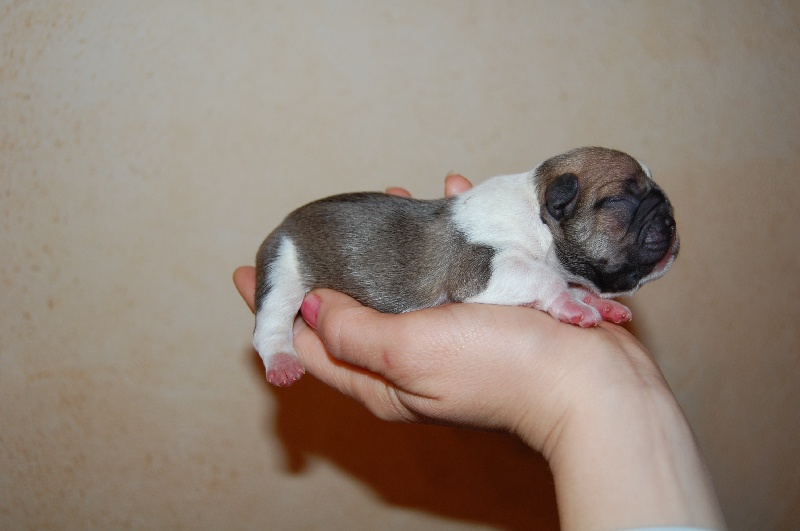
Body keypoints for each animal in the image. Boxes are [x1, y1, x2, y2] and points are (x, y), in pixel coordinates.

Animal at [253, 147, 679, 386]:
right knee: (270, 325)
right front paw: (571, 305)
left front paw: (597, 302)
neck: (537, 217)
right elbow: (542, 278)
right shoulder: (483, 269)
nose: (671, 220)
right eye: (622, 199)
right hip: (281, 268)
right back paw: (282, 362)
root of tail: (285, 221)